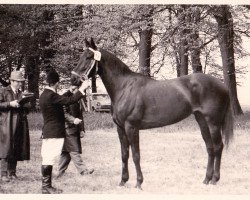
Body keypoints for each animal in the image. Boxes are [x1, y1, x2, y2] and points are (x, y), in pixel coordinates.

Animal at [71, 38, 234, 190]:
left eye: (88, 57)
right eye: (80, 56)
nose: (73, 79)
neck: (124, 87)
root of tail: (223, 86)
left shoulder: (131, 127)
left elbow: (136, 155)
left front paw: (138, 183)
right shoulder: (120, 128)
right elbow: (124, 155)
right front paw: (123, 181)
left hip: (213, 123)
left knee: (218, 147)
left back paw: (214, 179)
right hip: (202, 121)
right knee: (210, 148)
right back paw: (206, 179)